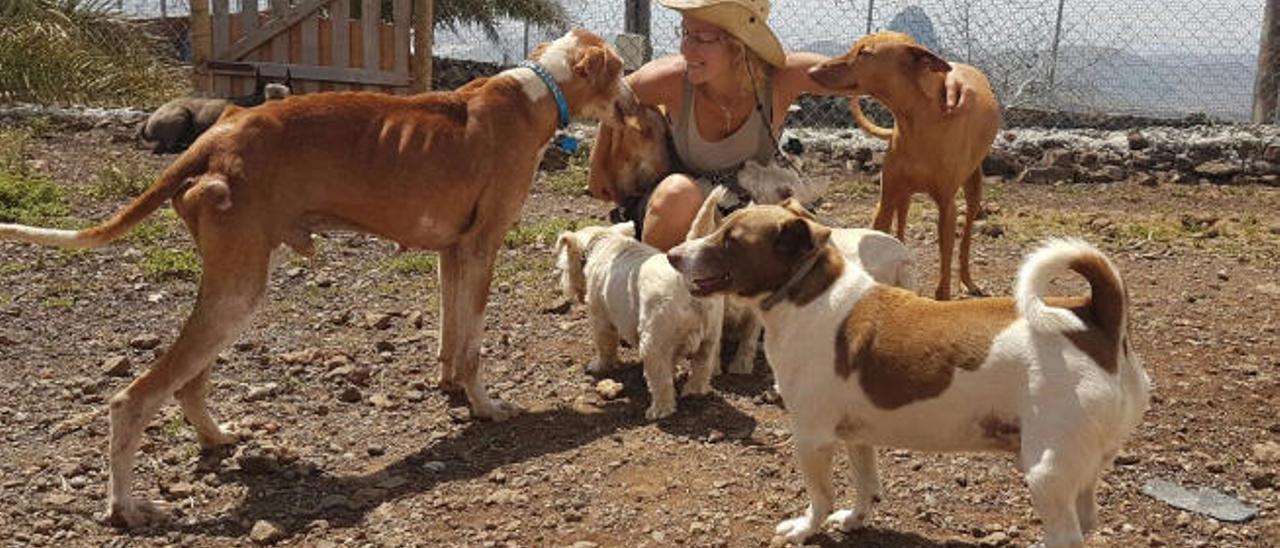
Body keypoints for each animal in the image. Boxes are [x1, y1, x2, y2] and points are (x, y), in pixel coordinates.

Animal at [0, 28, 637, 527]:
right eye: (623, 70)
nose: (637, 101)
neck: (534, 91)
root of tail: (218, 133)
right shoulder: (482, 248)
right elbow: (474, 348)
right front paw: (484, 405)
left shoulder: (452, 253)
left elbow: (451, 338)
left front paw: (452, 388)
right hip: (239, 292)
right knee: (132, 399)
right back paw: (126, 507)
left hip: (230, 290)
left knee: (186, 383)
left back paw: (216, 439)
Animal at [670, 204, 1152, 548]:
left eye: (730, 239)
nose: (673, 254)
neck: (809, 296)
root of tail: (1094, 319)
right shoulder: (857, 436)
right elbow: (865, 485)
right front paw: (856, 519)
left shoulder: (812, 438)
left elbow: (820, 497)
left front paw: (807, 527)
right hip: (1079, 465)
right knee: (1086, 521)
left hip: (1046, 468)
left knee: (1067, 534)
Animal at [808, 31, 998, 299]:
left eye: (864, 53)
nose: (811, 69)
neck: (917, 122)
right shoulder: (887, 198)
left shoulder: (947, 207)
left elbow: (945, 266)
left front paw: (943, 296)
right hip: (901, 194)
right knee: (900, 227)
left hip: (972, 189)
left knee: (966, 237)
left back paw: (967, 281)